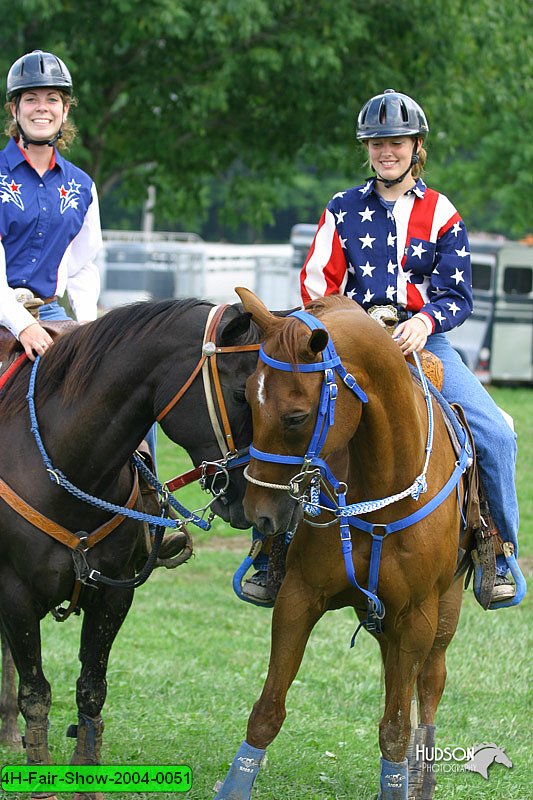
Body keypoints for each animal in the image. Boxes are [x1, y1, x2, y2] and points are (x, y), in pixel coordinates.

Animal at [0, 300, 258, 800]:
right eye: (242, 394)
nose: (258, 496)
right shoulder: (14, 595)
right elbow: (36, 692)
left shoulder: (114, 594)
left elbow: (91, 688)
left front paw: (86, 780)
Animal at [212, 290, 470, 800]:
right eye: (247, 399)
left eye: (296, 416)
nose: (259, 513)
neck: (381, 495)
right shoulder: (299, 597)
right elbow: (267, 710)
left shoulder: (417, 618)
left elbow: (395, 729)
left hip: (444, 611)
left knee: (430, 682)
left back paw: (423, 777)